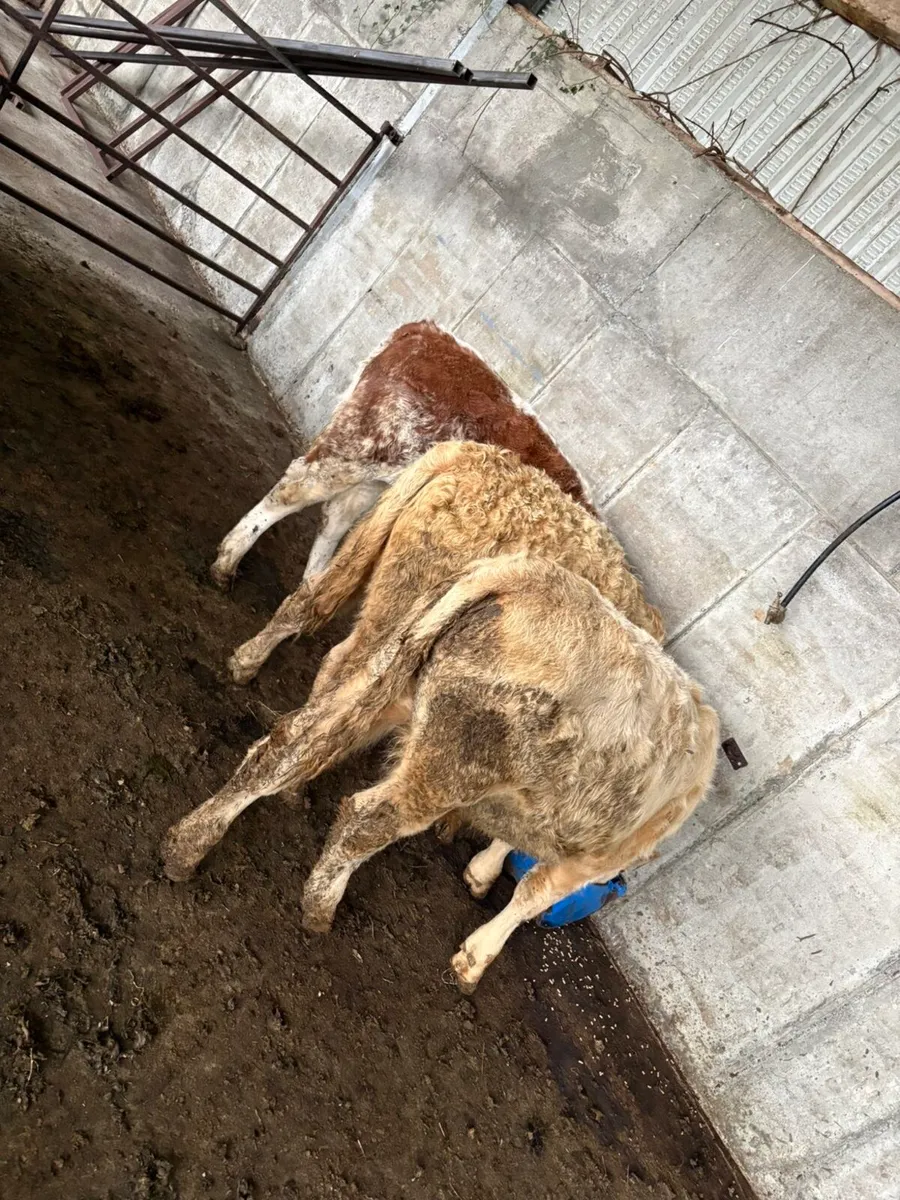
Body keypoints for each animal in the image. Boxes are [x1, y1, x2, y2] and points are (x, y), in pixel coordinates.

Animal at [164, 444, 716, 992]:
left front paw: (481, 869)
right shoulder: (597, 857)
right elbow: (533, 890)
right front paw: (477, 951)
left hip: (397, 642)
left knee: (300, 707)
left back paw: (203, 825)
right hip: (452, 747)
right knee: (366, 810)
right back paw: (319, 905)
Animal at [210, 321, 593, 589]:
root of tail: (426, 331)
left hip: (379, 470)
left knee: (336, 515)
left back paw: (310, 586)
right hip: (360, 445)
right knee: (297, 489)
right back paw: (228, 562)